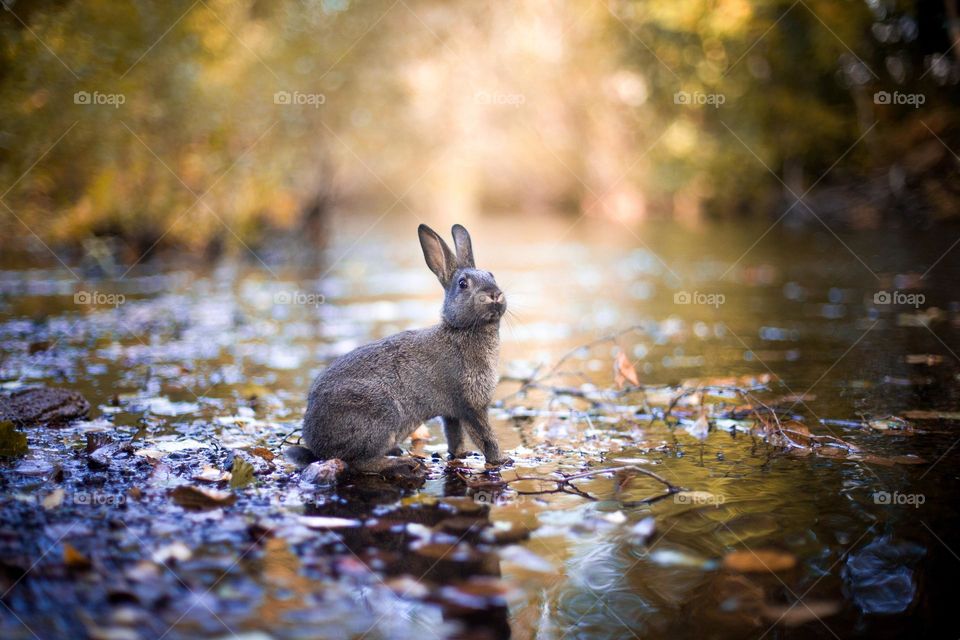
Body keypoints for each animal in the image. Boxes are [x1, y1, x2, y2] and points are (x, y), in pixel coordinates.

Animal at [287, 223, 511, 475]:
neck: (462, 329)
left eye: (491, 275)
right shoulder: (471, 405)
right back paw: (402, 463)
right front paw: (501, 460)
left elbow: (455, 436)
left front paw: (462, 455)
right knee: (360, 462)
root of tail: (317, 445)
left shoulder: (452, 413)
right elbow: (485, 436)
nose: (494, 294)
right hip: (381, 415)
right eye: (463, 284)